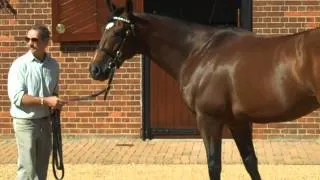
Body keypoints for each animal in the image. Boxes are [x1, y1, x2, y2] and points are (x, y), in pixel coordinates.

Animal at [89, 0, 318, 179]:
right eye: (103, 29)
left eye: (120, 32)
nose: (96, 69)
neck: (199, 51)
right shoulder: (237, 121)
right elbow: (250, 162)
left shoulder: (208, 119)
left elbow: (214, 166)